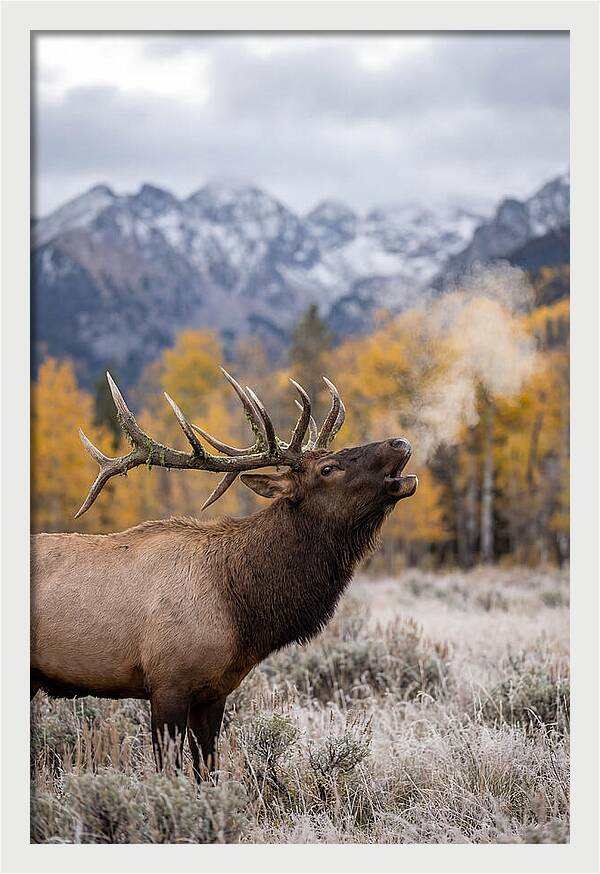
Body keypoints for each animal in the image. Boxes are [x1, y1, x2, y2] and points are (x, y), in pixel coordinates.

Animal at [31, 367, 417, 781]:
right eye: (327, 468)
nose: (399, 442)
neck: (240, 611)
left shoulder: (215, 692)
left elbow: (208, 770)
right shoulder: (167, 682)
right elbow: (169, 772)